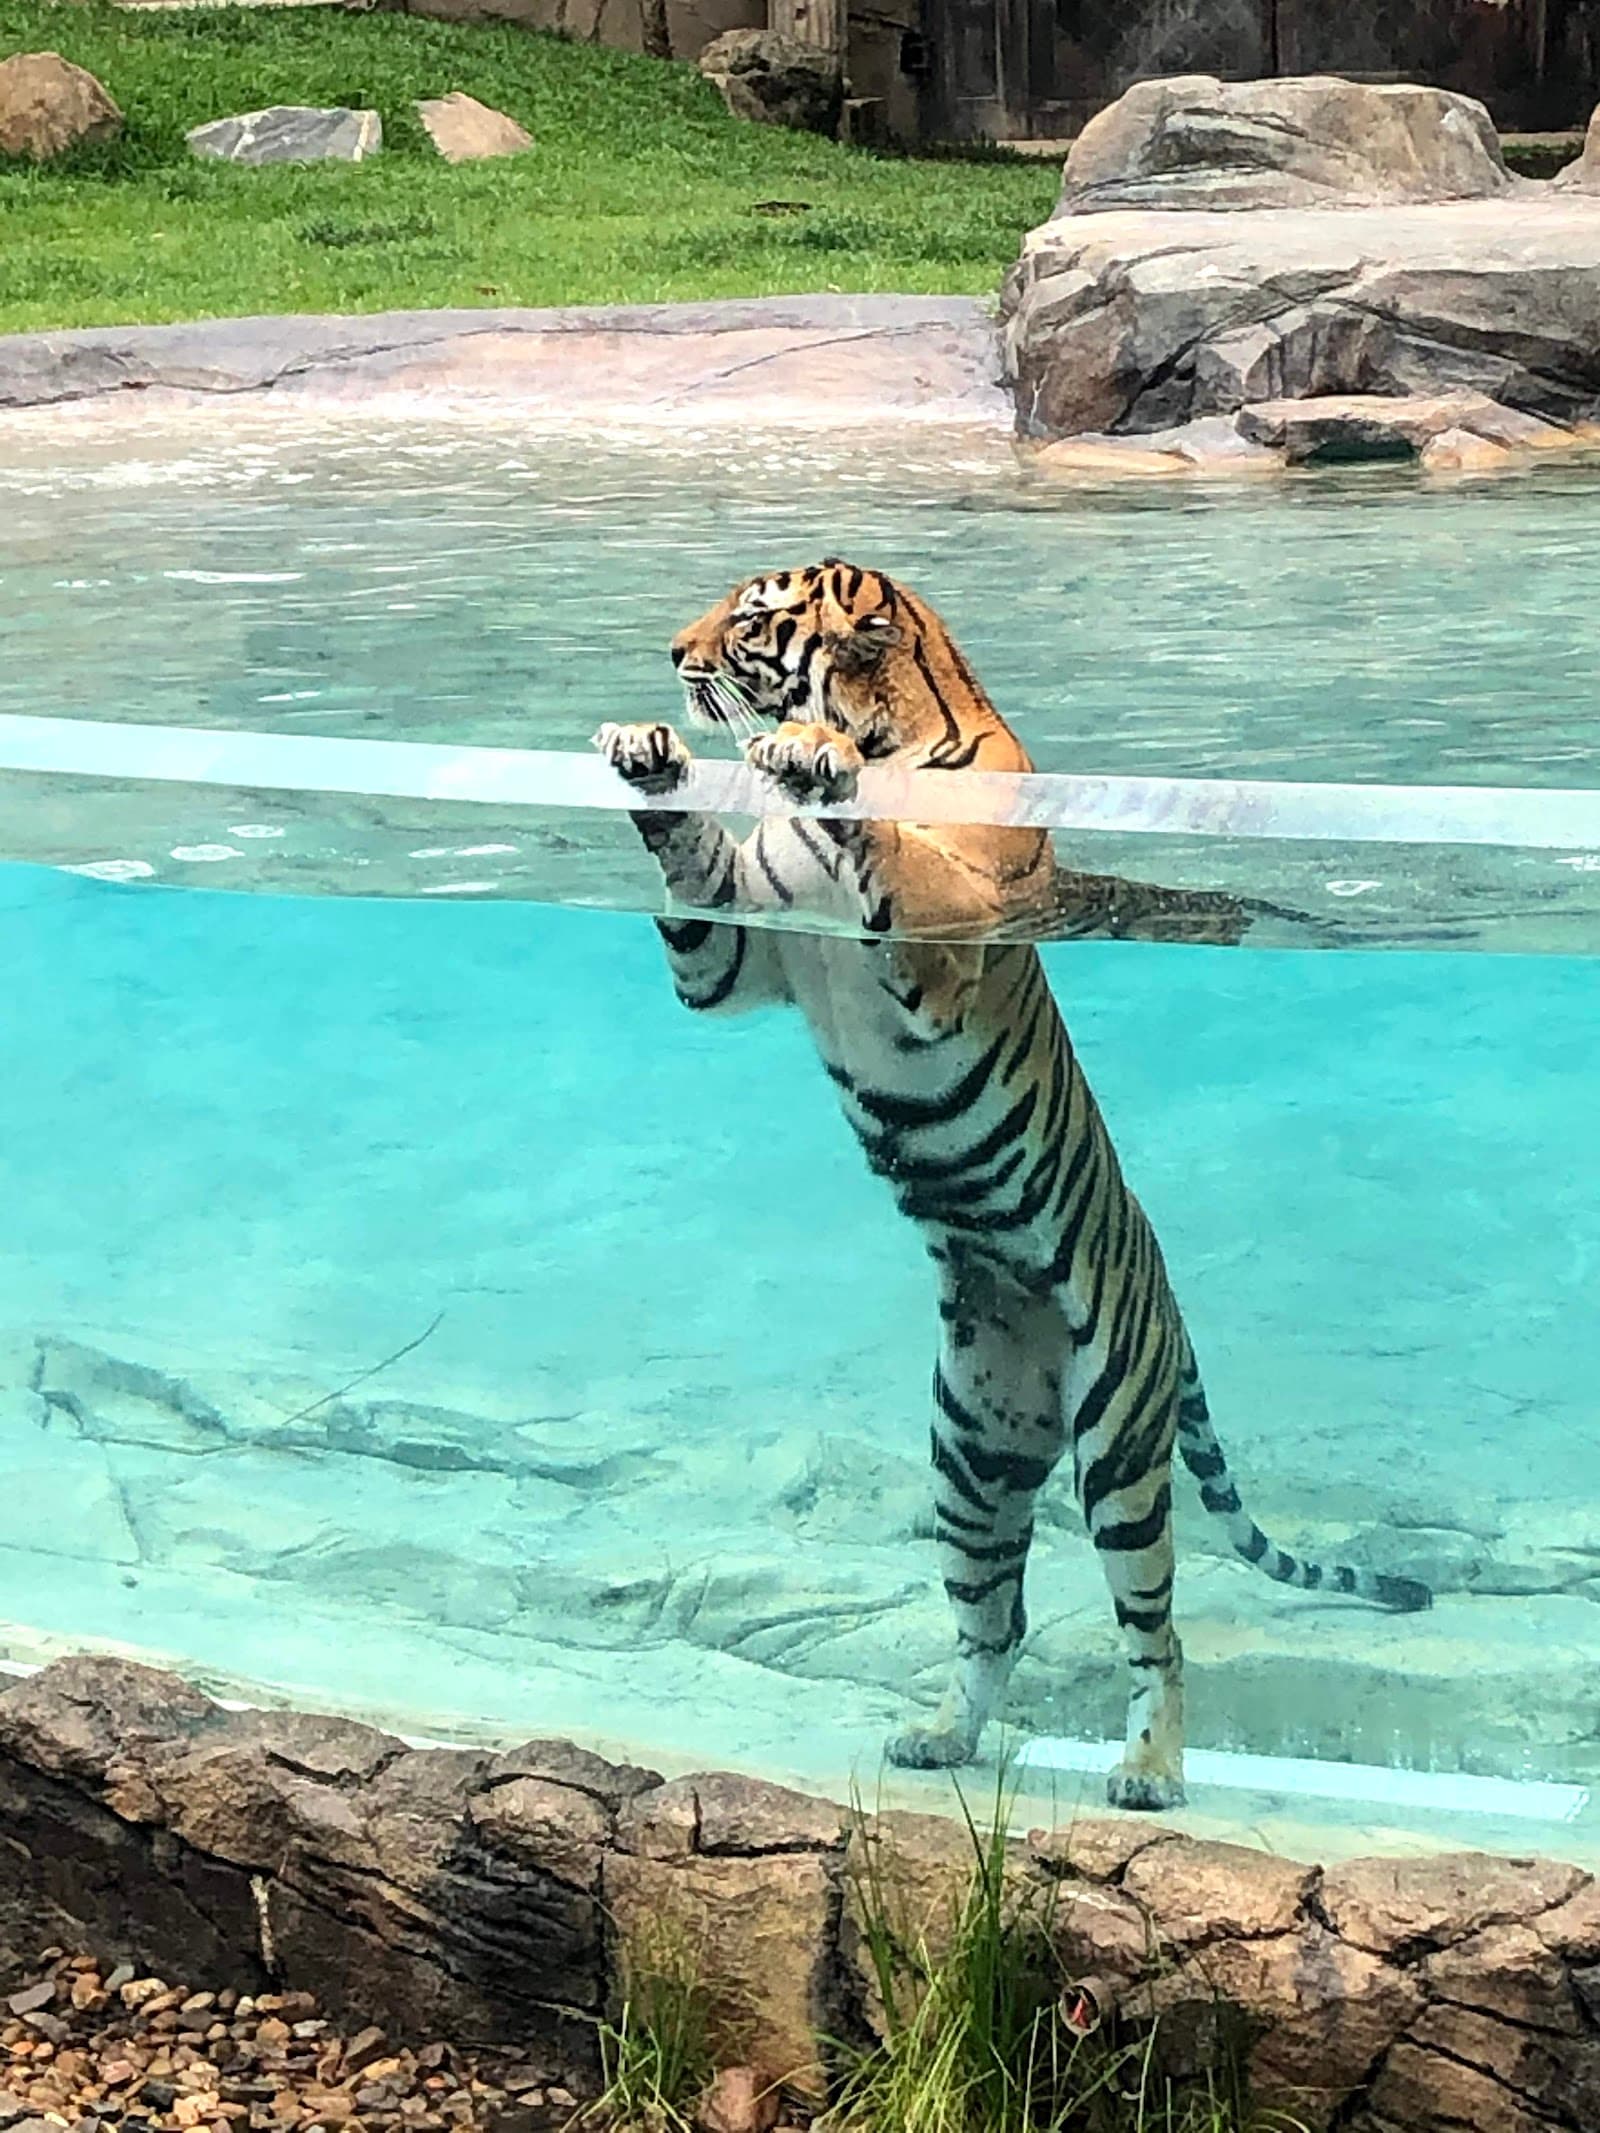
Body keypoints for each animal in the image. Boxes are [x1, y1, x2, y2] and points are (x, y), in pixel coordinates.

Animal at [592, 557, 1430, 1811]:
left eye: (749, 617)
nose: (668, 654)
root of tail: (1170, 1314)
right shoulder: (737, 956)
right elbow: (695, 863)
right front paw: (645, 752)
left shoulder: (934, 945)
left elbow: (894, 853)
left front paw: (811, 758)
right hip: (970, 1459)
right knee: (996, 1620)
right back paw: (943, 1736)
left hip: (1118, 1451)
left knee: (1156, 1632)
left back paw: (1147, 1771)